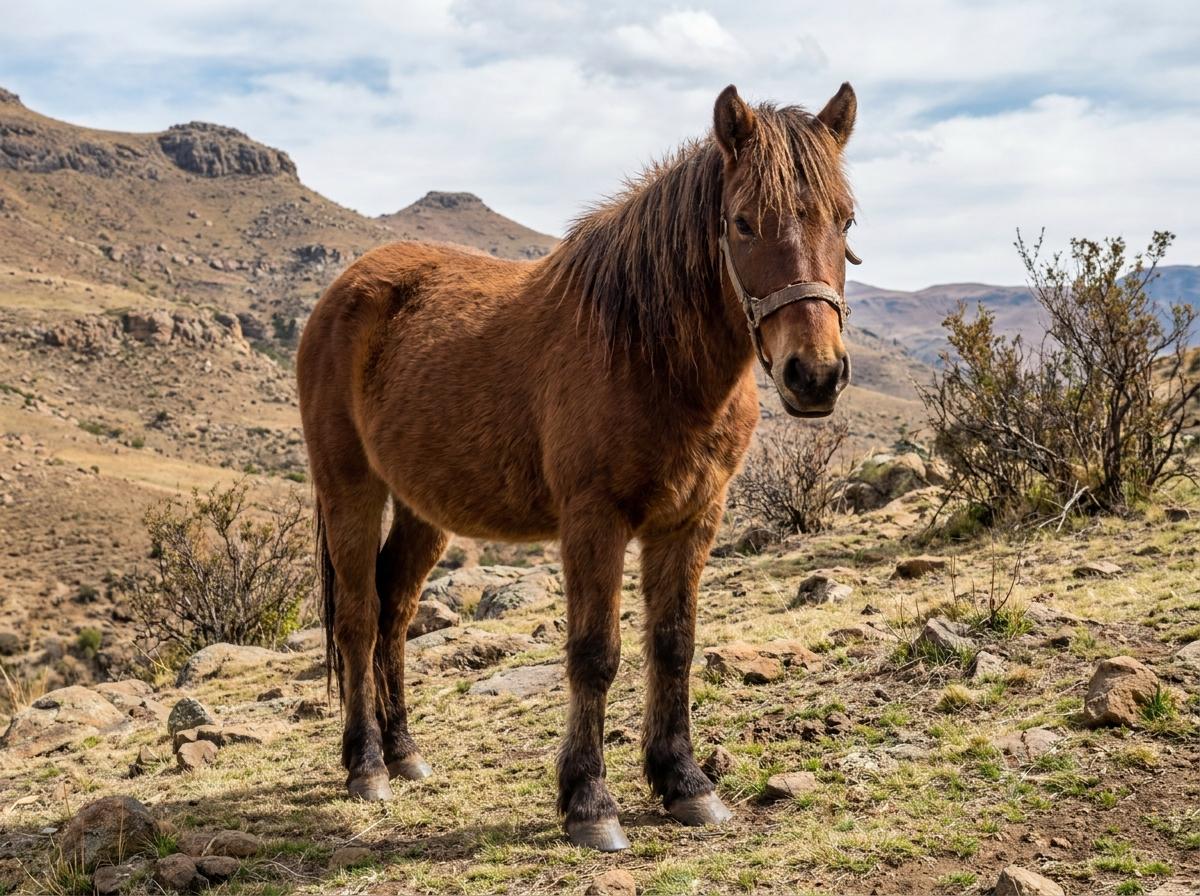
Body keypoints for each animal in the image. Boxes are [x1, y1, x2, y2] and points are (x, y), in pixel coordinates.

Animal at [296, 82, 860, 851]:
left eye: (845, 218)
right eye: (744, 223)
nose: (816, 375)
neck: (646, 349)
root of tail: (344, 290)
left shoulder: (692, 518)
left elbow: (673, 644)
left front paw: (685, 783)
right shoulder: (594, 521)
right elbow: (595, 654)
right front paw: (590, 802)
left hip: (421, 509)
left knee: (395, 609)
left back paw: (404, 750)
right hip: (349, 488)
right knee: (357, 617)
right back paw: (366, 766)